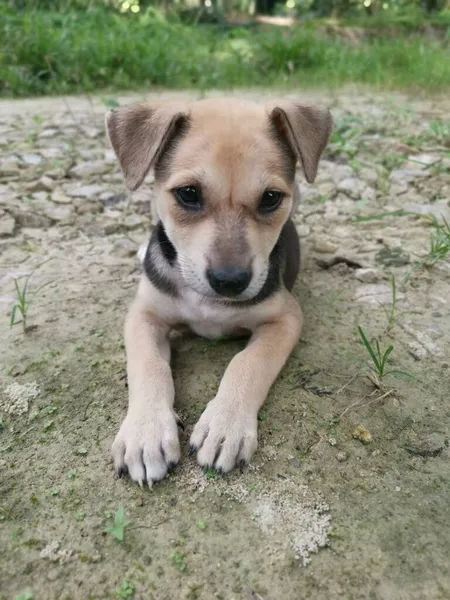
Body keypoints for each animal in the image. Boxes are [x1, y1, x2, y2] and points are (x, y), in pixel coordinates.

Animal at [105, 96, 330, 486]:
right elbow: (148, 365)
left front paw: (226, 425)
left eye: (271, 199)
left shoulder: (285, 317)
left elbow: (248, 362)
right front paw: (145, 434)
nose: (230, 281)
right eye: (188, 194)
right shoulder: (143, 316)